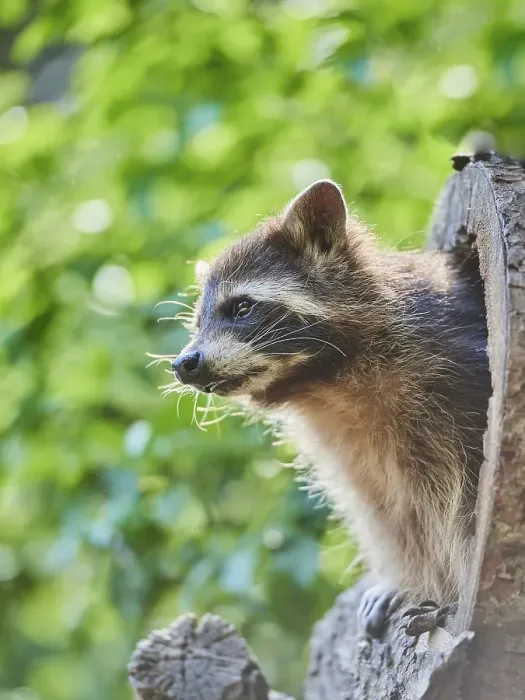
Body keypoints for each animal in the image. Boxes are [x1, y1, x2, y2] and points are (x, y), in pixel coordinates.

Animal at [171, 179, 491, 637]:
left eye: (242, 307)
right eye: (197, 323)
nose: (184, 363)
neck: (326, 384)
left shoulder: (459, 383)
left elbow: (467, 502)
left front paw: (458, 592)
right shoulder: (348, 452)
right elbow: (389, 516)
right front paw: (407, 580)